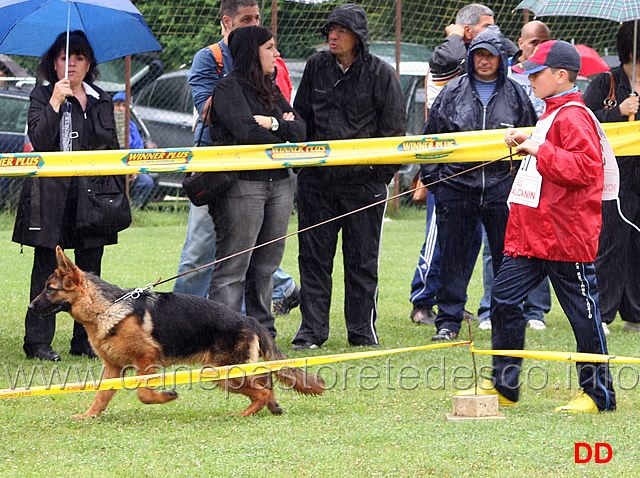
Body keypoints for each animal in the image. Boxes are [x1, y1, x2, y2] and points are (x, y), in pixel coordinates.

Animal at [28, 246, 324, 418]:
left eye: (49, 289)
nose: (30, 306)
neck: (106, 308)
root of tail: (251, 321)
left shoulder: (147, 361)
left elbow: (143, 393)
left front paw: (165, 397)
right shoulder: (113, 367)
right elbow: (101, 395)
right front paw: (89, 416)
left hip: (220, 372)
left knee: (261, 389)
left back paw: (245, 414)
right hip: (229, 370)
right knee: (266, 381)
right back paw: (271, 406)